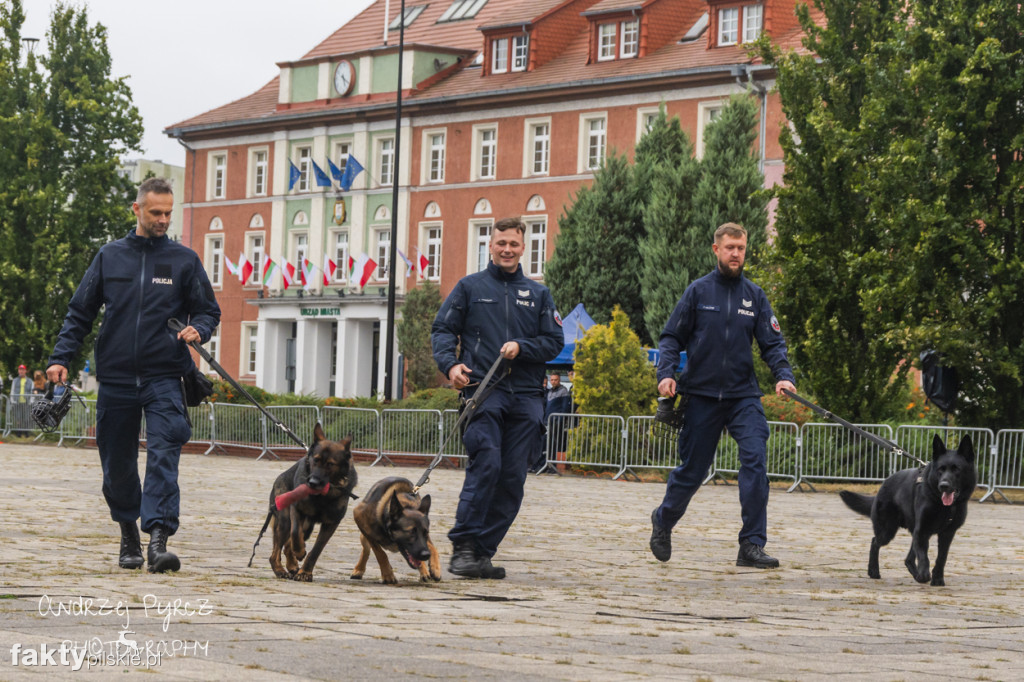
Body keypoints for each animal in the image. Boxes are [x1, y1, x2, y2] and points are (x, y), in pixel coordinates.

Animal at [839, 430, 974, 585]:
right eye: (941, 469)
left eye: (956, 469)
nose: (943, 485)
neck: (943, 505)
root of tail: (884, 484)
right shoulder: (922, 531)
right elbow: (924, 558)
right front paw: (925, 575)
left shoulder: (947, 534)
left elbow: (941, 558)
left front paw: (937, 579)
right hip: (887, 530)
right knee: (875, 542)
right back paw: (874, 571)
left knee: (908, 559)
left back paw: (915, 575)